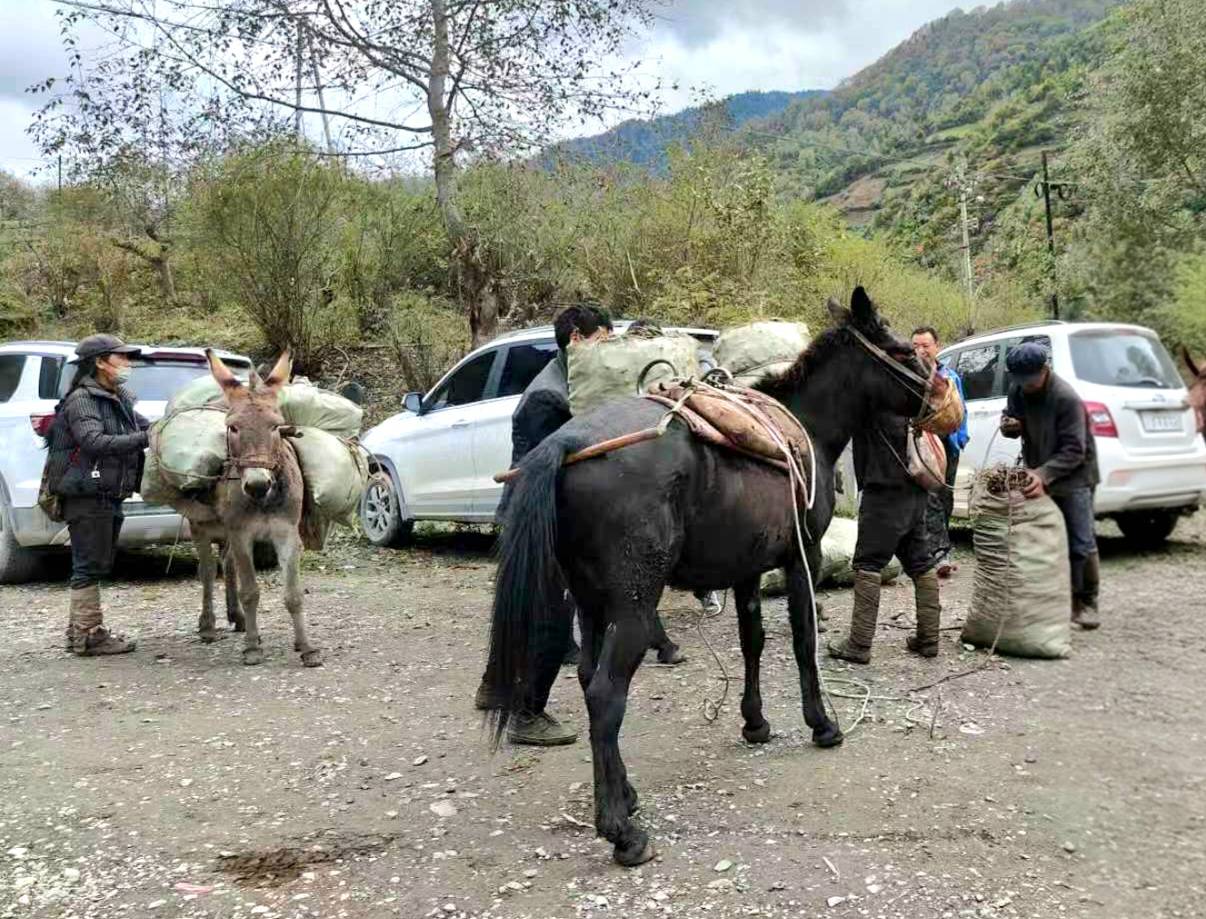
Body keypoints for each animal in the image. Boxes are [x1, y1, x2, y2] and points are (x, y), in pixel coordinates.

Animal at [172, 350, 322, 668]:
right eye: (233, 427)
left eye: (276, 426)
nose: (257, 485)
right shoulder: (242, 534)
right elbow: (250, 591)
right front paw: (253, 648)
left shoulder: (286, 533)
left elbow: (293, 594)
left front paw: (306, 648)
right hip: (200, 527)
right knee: (207, 571)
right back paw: (208, 625)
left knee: (227, 565)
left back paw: (238, 618)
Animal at [483, 287, 939, 867]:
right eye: (903, 351)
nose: (941, 393)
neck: (804, 427)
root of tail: (564, 446)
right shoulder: (802, 557)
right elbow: (802, 640)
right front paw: (821, 723)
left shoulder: (746, 568)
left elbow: (752, 642)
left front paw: (755, 722)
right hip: (634, 607)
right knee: (606, 695)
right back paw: (621, 831)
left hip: (591, 602)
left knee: (587, 678)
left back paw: (625, 795)